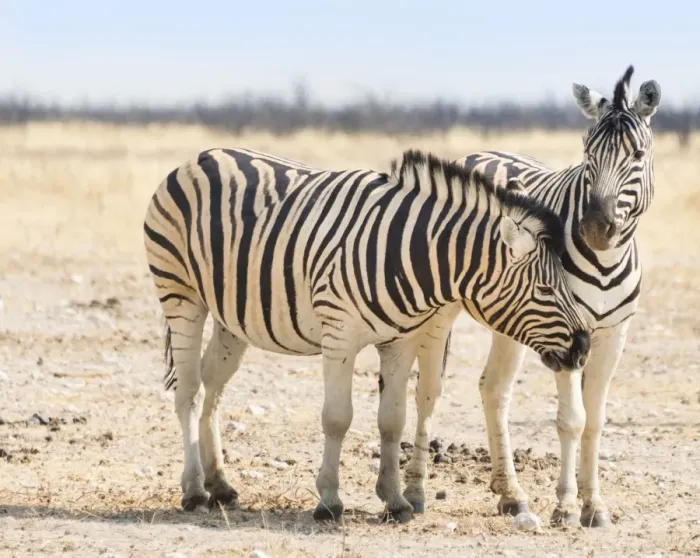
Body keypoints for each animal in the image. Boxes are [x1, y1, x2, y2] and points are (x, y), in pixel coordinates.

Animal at [143, 146, 591, 523]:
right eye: (546, 289)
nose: (583, 347)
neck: (411, 255)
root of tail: (200, 157)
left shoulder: (400, 342)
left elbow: (392, 420)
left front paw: (396, 502)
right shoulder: (339, 335)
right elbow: (337, 418)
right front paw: (328, 501)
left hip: (232, 318)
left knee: (212, 386)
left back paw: (220, 484)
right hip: (181, 295)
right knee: (189, 391)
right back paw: (194, 492)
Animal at [440, 65, 661, 527]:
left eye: (637, 156)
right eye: (587, 154)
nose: (595, 227)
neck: (606, 260)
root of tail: (482, 151)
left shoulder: (613, 335)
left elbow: (595, 421)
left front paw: (595, 506)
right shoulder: (565, 335)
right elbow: (572, 420)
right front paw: (566, 505)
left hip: (511, 319)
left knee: (494, 388)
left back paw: (509, 494)